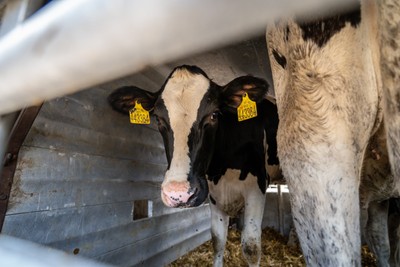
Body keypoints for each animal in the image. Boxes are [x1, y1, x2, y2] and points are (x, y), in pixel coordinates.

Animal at [108, 65, 280, 267]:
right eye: (158, 119)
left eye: (214, 115)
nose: (179, 193)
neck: (222, 169)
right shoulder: (214, 195)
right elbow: (217, 240)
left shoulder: (257, 187)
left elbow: (251, 247)